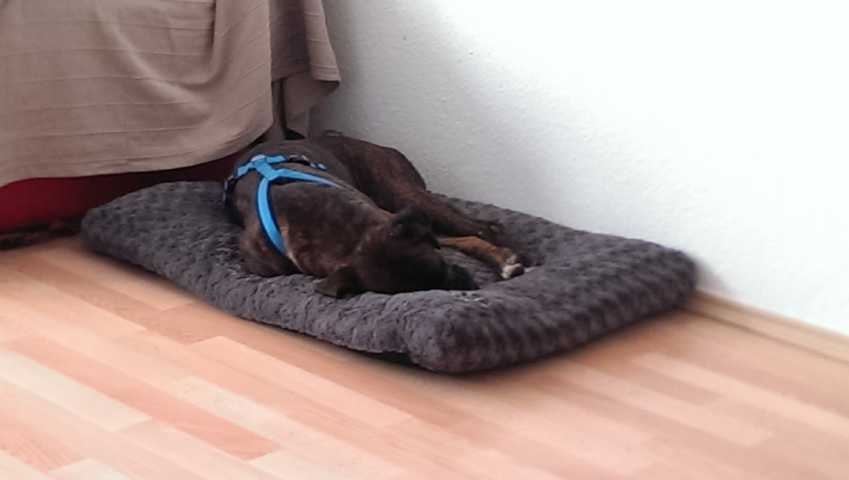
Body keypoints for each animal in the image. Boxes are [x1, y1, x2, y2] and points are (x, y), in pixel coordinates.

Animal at [226, 132, 524, 297]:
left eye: (441, 265)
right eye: (420, 291)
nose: (466, 283)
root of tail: (384, 147)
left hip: (402, 196)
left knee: (483, 227)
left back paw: (505, 258)